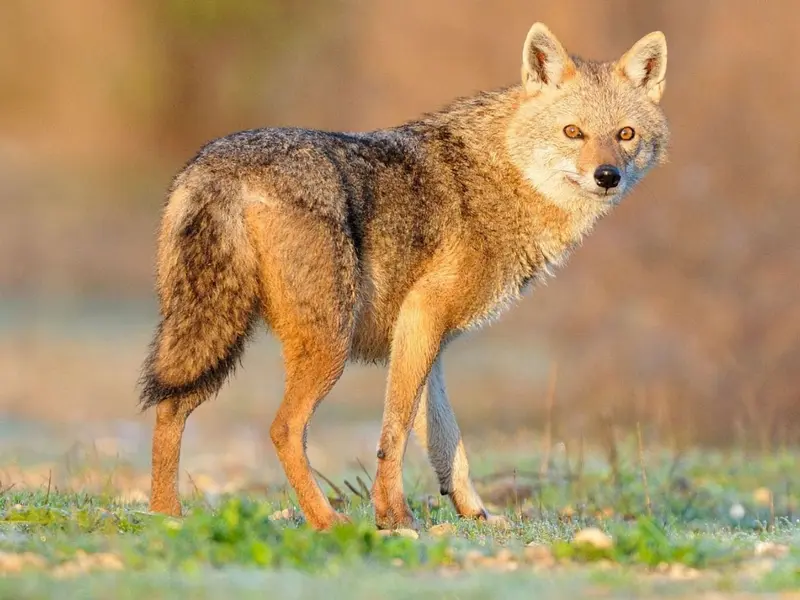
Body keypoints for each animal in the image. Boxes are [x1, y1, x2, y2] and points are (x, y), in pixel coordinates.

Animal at [138, 22, 669, 530]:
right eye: (573, 132)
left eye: (625, 135)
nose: (607, 176)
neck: (502, 177)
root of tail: (220, 166)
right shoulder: (422, 316)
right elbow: (394, 430)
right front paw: (394, 517)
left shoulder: (427, 338)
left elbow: (446, 440)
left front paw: (475, 513)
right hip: (324, 346)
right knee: (282, 428)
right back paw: (325, 520)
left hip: (206, 335)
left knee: (169, 409)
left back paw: (166, 516)